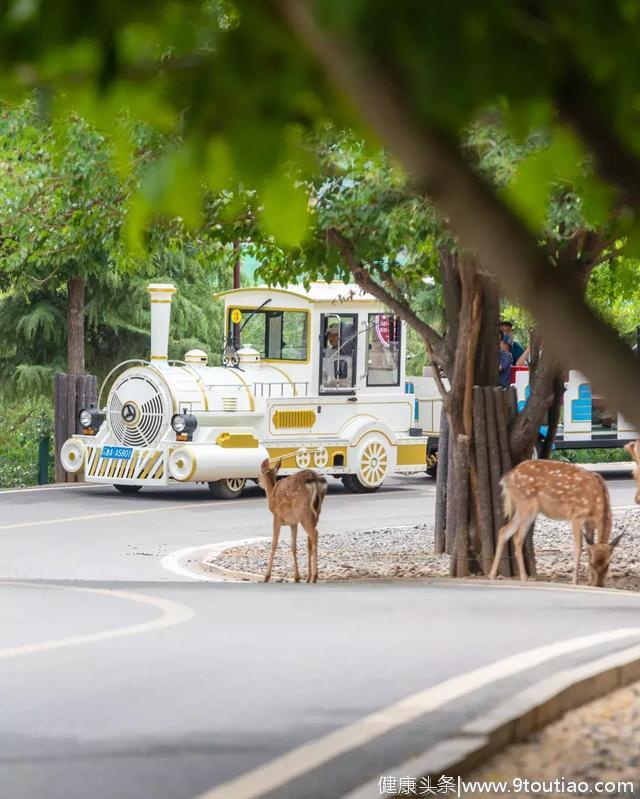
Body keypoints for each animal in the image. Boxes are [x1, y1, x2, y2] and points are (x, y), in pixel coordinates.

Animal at [488, 460, 624, 584]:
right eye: (592, 563)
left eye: (608, 563)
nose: (599, 585)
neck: (597, 503)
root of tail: (508, 477)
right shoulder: (577, 515)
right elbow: (578, 547)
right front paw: (575, 581)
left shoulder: (589, 523)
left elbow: (588, 547)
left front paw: (588, 581)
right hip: (527, 505)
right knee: (517, 537)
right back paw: (523, 578)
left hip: (521, 507)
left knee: (504, 531)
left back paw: (492, 575)